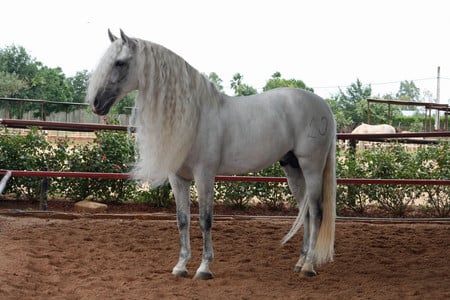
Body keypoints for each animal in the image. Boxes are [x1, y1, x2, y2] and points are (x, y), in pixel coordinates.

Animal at [86, 29, 336, 280]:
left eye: (120, 62)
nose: (96, 103)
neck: (194, 116)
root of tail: (323, 105)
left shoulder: (204, 174)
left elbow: (205, 220)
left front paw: (204, 268)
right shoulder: (178, 178)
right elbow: (182, 220)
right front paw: (181, 266)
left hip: (311, 167)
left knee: (316, 213)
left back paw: (309, 266)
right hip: (292, 167)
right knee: (305, 212)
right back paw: (300, 262)